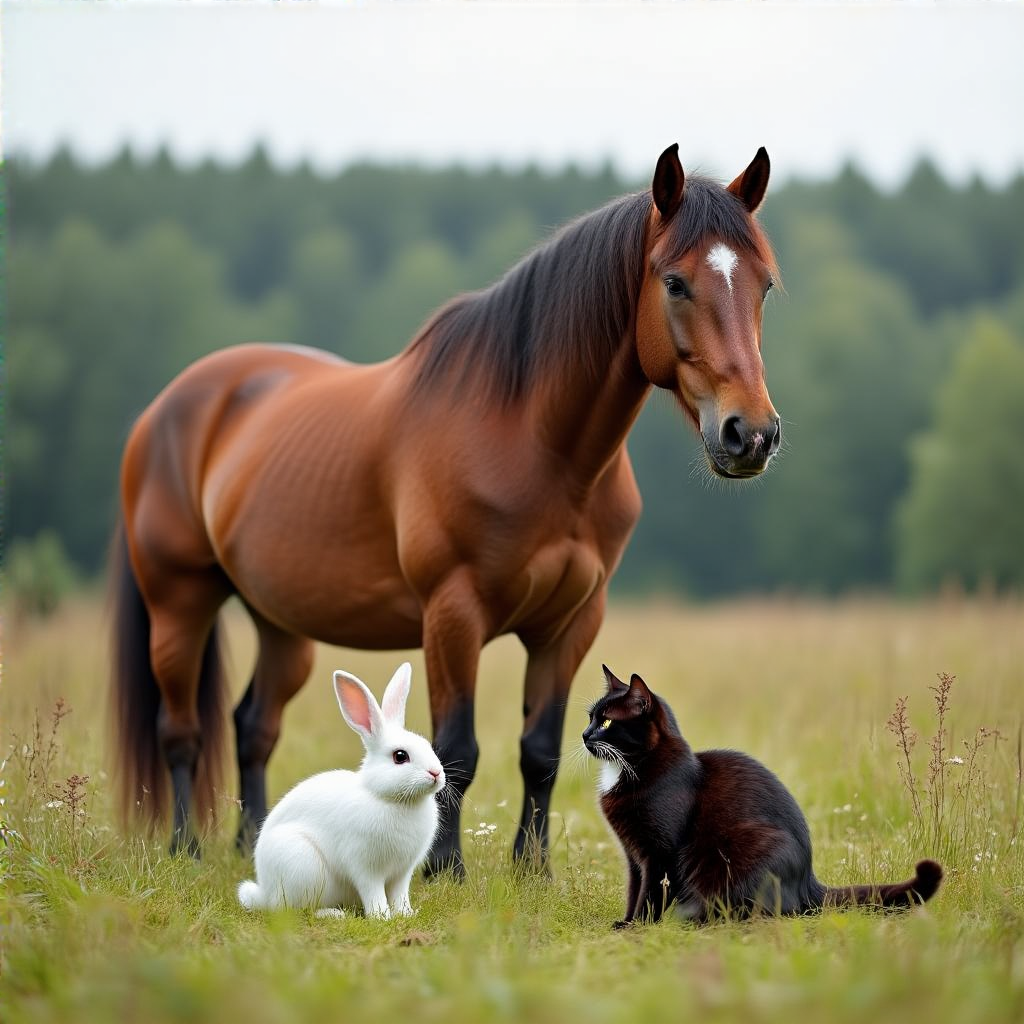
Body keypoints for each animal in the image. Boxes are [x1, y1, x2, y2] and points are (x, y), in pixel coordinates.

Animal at [111, 143, 781, 872]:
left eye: (765, 286)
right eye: (675, 282)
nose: (750, 434)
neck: (535, 442)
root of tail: (168, 406)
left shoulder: (571, 623)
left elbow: (540, 750)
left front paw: (532, 870)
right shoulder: (453, 613)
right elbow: (456, 748)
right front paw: (442, 867)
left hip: (281, 621)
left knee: (252, 725)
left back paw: (255, 841)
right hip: (180, 600)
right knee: (180, 729)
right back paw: (186, 848)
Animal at [237, 661, 445, 919]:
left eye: (427, 745)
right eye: (400, 756)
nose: (436, 773)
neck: (392, 799)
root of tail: (265, 893)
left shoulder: (402, 872)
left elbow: (400, 894)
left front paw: (406, 914)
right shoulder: (365, 866)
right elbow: (373, 892)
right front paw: (381, 917)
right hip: (304, 867)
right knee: (295, 910)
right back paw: (332, 914)